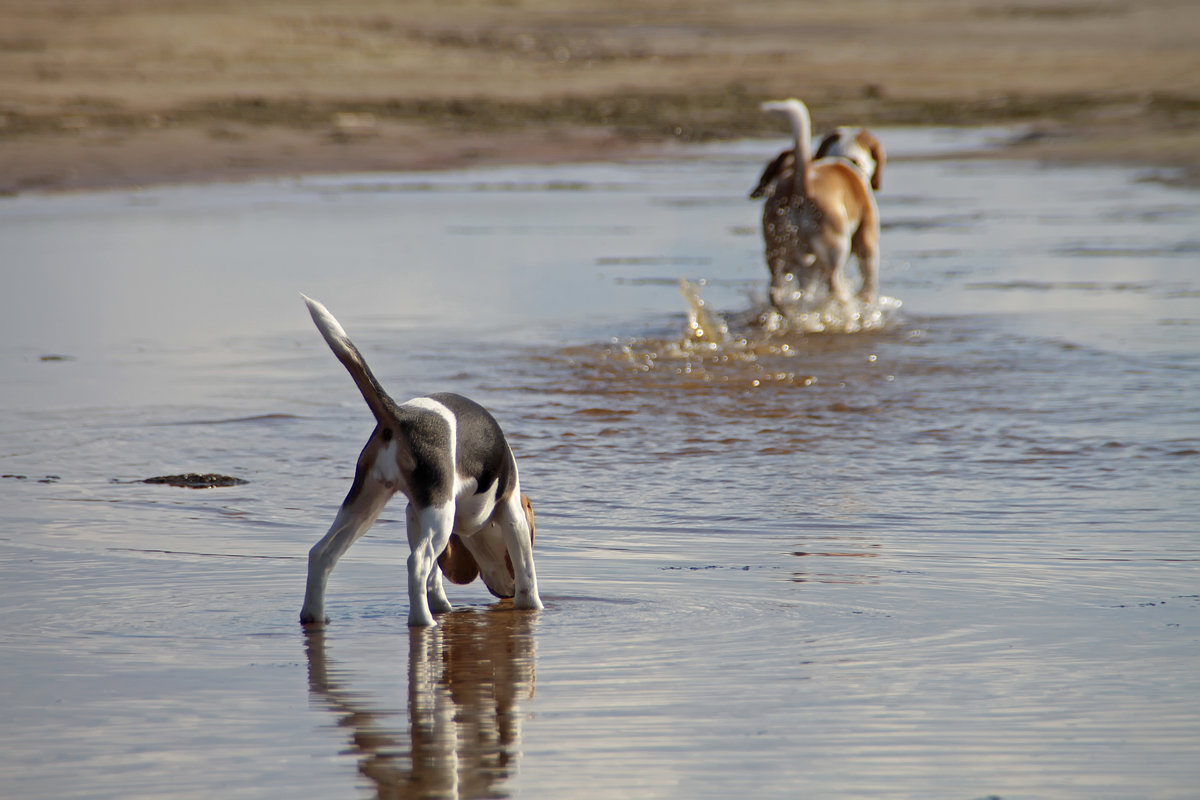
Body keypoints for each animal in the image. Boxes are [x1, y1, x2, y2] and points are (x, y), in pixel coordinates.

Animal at [300, 297, 544, 628]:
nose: (504, 595)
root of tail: (400, 415)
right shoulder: (511, 510)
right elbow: (526, 569)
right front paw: (533, 606)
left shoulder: (413, 513)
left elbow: (435, 575)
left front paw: (441, 604)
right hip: (438, 513)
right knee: (416, 562)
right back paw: (423, 621)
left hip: (364, 505)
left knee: (321, 553)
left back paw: (314, 616)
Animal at [753, 97, 878, 311]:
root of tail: (802, 184)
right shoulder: (867, 241)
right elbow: (869, 282)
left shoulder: (807, 269)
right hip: (836, 251)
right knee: (835, 287)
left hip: (778, 254)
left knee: (775, 291)